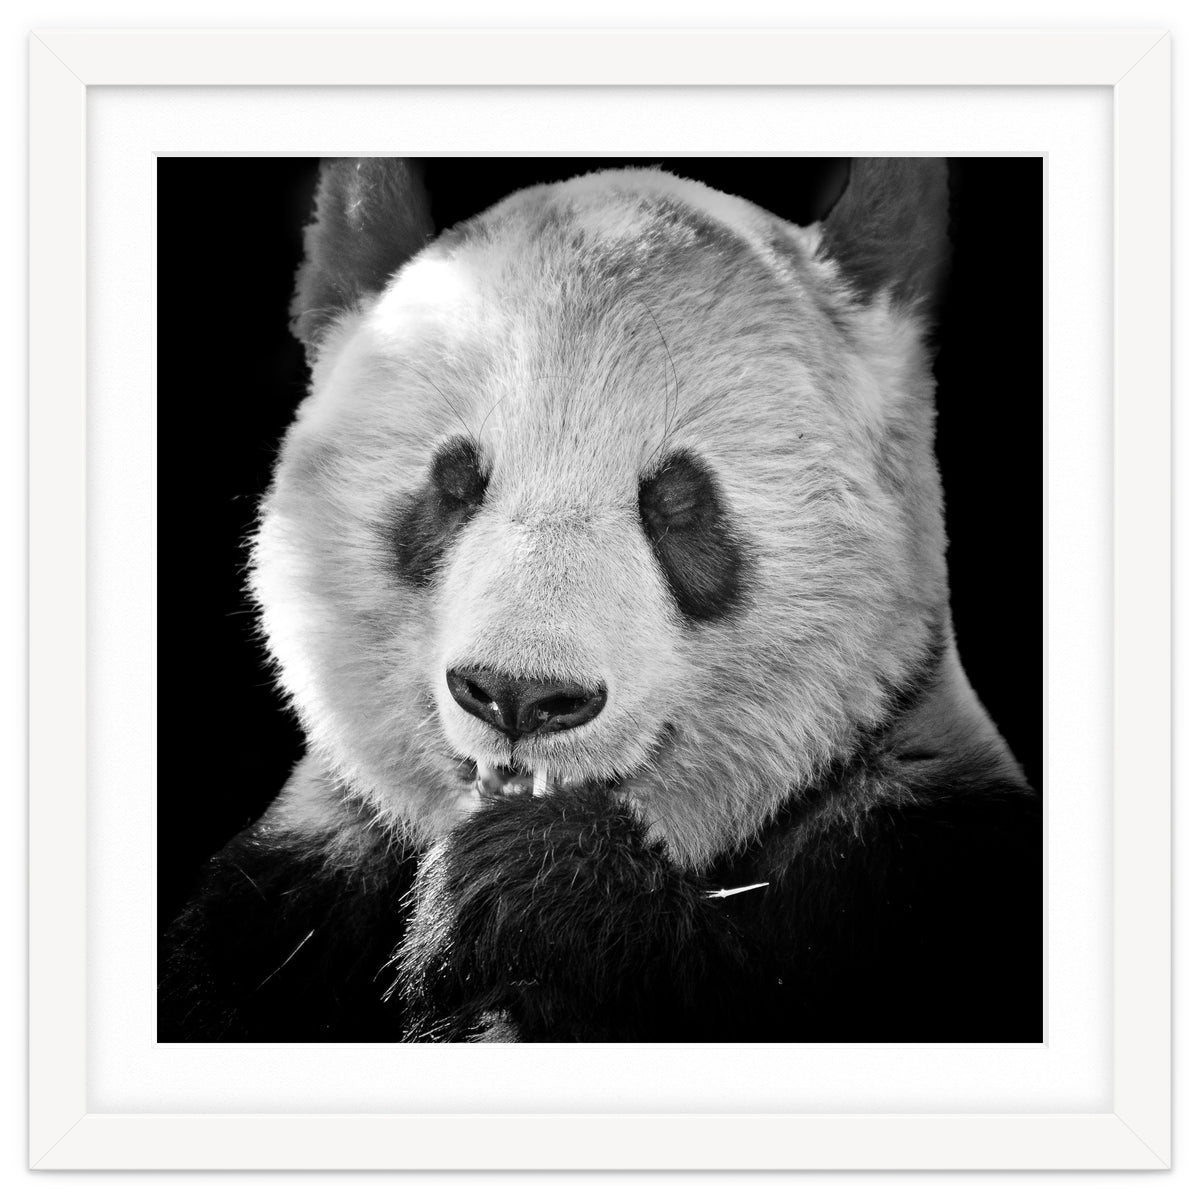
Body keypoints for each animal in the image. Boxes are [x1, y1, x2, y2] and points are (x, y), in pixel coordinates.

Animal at [160, 158, 1041, 1043]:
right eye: (454, 484)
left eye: (678, 503)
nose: (519, 695)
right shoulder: (288, 896)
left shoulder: (914, 861)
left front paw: (536, 888)